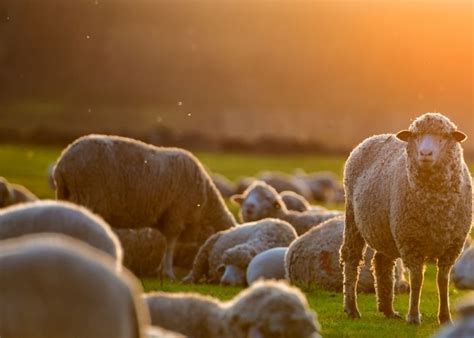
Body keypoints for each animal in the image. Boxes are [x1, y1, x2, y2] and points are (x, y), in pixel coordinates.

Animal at [53, 133, 237, 278]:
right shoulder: (176, 214)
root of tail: (63, 162)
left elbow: (165, 243)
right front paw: (168, 272)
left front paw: (160, 270)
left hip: (67, 197)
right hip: (89, 197)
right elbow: (170, 244)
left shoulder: (167, 217)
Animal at [338, 112, 472, 324]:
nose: (425, 154)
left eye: (444, 136)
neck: (436, 205)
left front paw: (445, 317)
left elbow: (442, 280)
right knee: (351, 257)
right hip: (352, 216)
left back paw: (388, 310)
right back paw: (351, 308)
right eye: (415, 136)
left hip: (385, 228)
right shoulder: (411, 241)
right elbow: (417, 279)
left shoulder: (452, 246)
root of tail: (375, 136)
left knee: (382, 262)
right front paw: (414, 316)